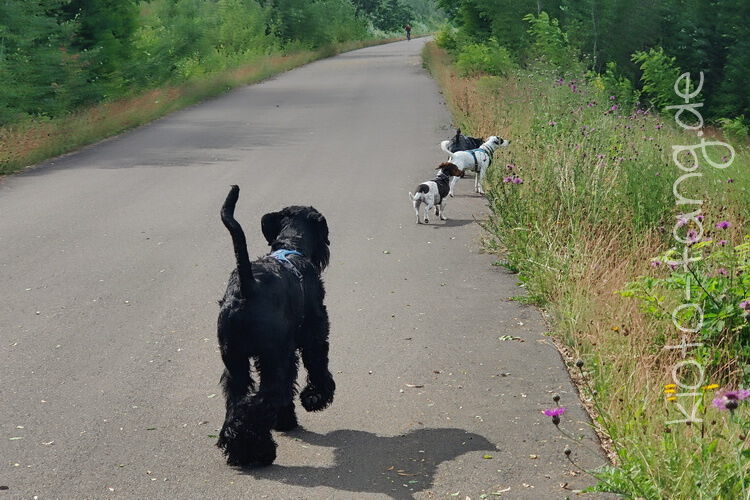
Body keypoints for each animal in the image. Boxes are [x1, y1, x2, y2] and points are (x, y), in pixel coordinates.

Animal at [216, 185, 335, 466]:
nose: (327, 248)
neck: (292, 249)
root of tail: (248, 287)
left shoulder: (284, 353)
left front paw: (286, 419)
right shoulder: (313, 335)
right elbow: (317, 365)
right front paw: (314, 398)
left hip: (234, 363)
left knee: (236, 400)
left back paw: (237, 449)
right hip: (272, 359)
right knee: (256, 402)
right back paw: (260, 451)